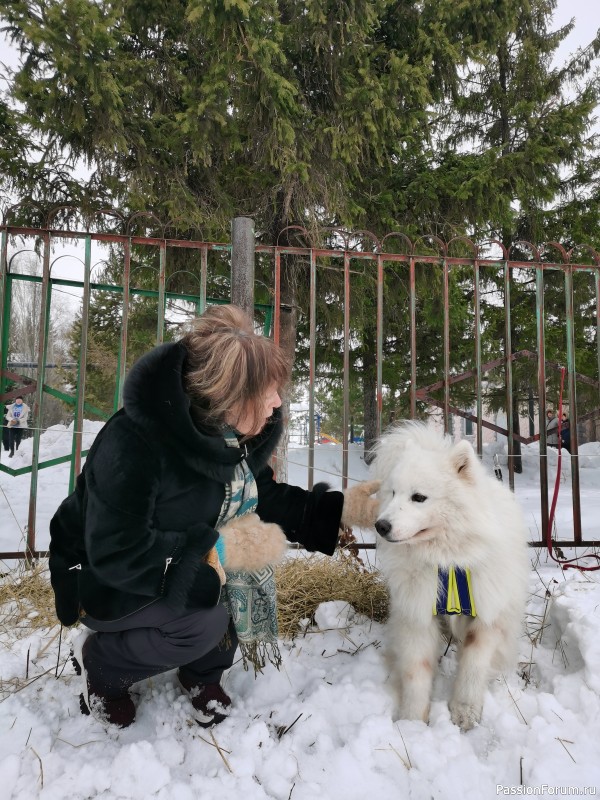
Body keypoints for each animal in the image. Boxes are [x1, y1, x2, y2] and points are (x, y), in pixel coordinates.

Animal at [376, 424, 528, 732]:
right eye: (393, 493)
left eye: (418, 497)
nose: (380, 525)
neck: (447, 561)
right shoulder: (417, 615)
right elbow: (416, 672)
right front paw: (412, 722)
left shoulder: (487, 618)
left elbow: (473, 666)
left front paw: (465, 712)